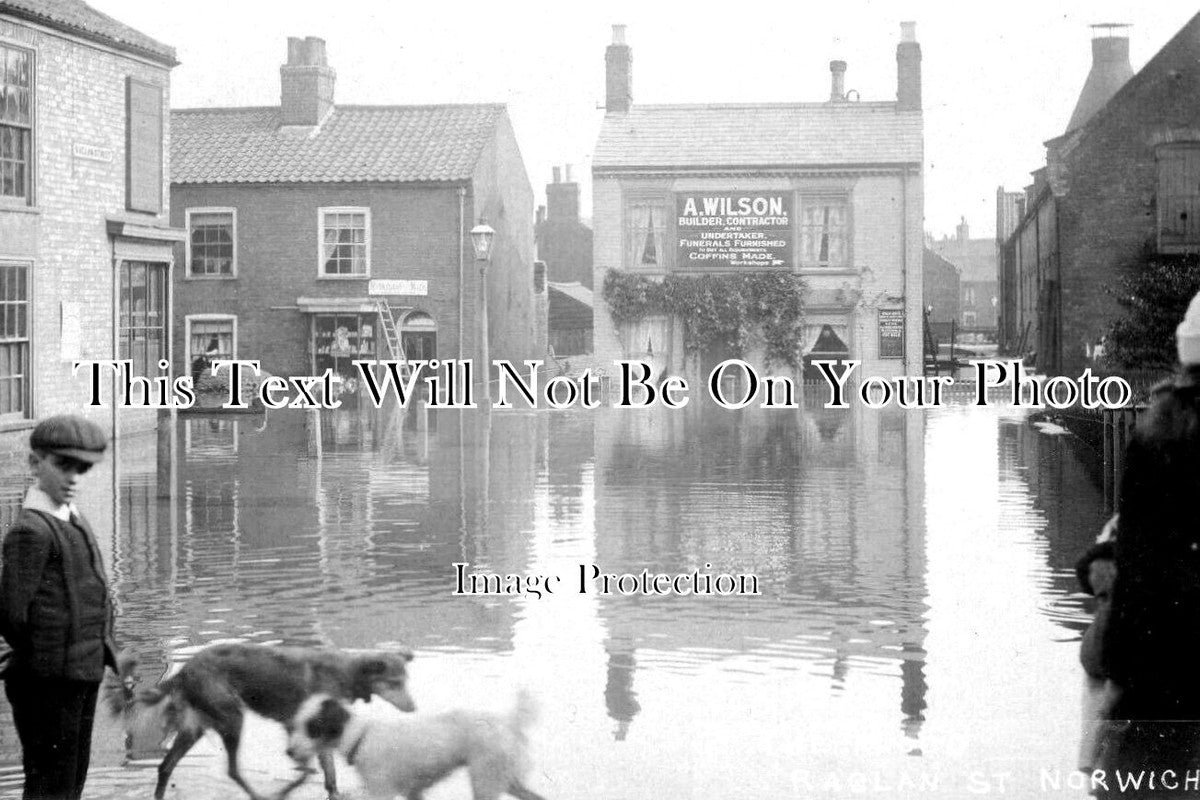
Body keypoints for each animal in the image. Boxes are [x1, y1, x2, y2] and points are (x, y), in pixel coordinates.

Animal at [108, 642, 417, 800]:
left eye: (405, 681)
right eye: (395, 682)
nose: (414, 708)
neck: (346, 672)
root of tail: (185, 670)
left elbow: (329, 777)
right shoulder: (295, 728)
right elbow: (308, 771)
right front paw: (288, 788)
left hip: (196, 728)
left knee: (165, 767)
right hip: (232, 718)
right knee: (233, 770)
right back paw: (262, 796)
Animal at [283, 690, 547, 800]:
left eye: (312, 727)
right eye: (296, 723)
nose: (289, 751)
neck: (360, 737)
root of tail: (509, 721)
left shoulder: (382, 794)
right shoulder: (414, 793)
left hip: (486, 783)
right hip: (506, 781)